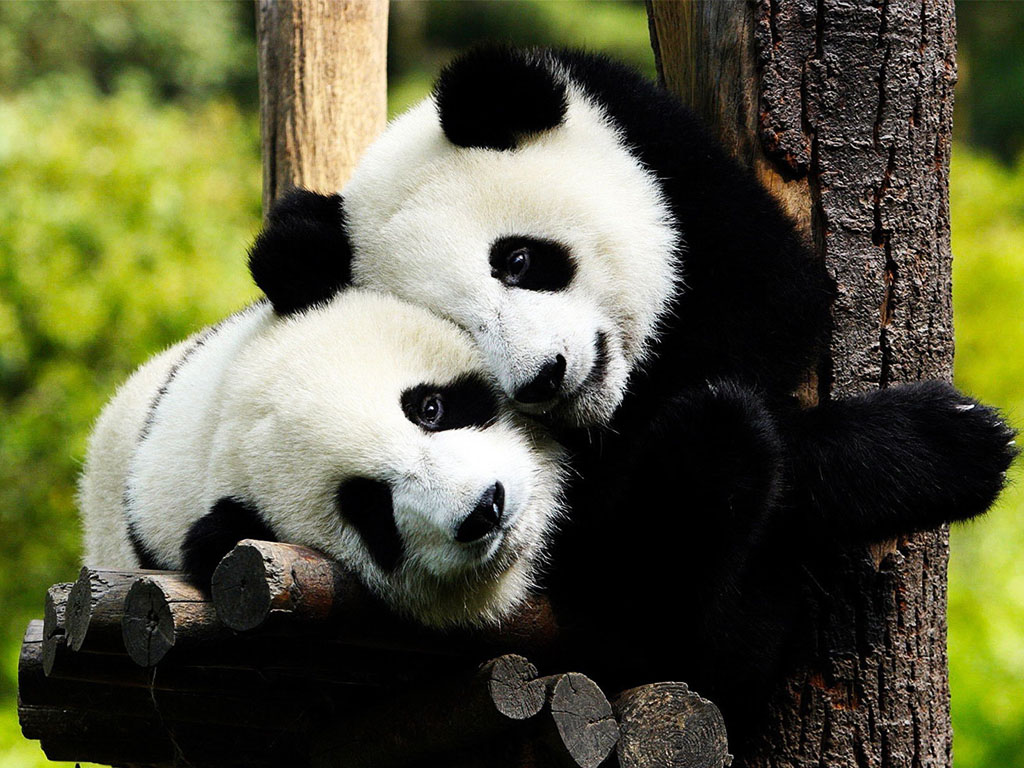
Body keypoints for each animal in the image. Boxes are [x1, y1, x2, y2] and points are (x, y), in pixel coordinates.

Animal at [246, 47, 1017, 738]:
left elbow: (773, 308)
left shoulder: (682, 182)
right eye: (460, 331)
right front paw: (952, 444)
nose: (544, 377)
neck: (617, 401)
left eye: (517, 259)